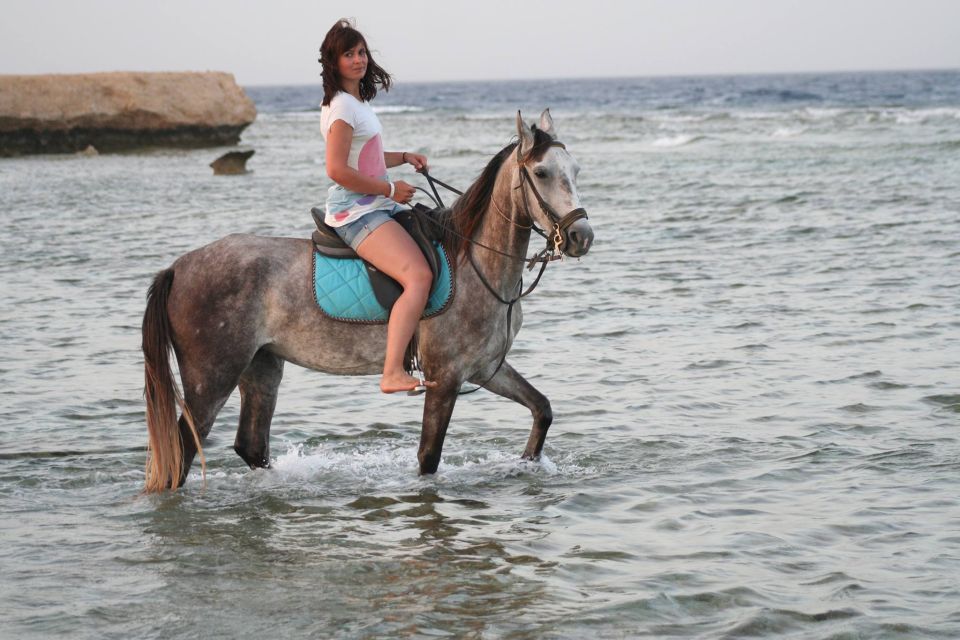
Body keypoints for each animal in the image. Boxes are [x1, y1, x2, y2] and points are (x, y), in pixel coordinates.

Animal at [142, 110, 592, 492]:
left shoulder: (484, 368)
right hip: (211, 378)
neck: (476, 262)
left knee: (250, 445)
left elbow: (542, 409)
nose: (580, 236)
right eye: (541, 172)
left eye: (574, 171)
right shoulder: (445, 377)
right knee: (184, 451)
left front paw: (528, 465)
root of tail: (178, 268)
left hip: (261, 368)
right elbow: (428, 458)